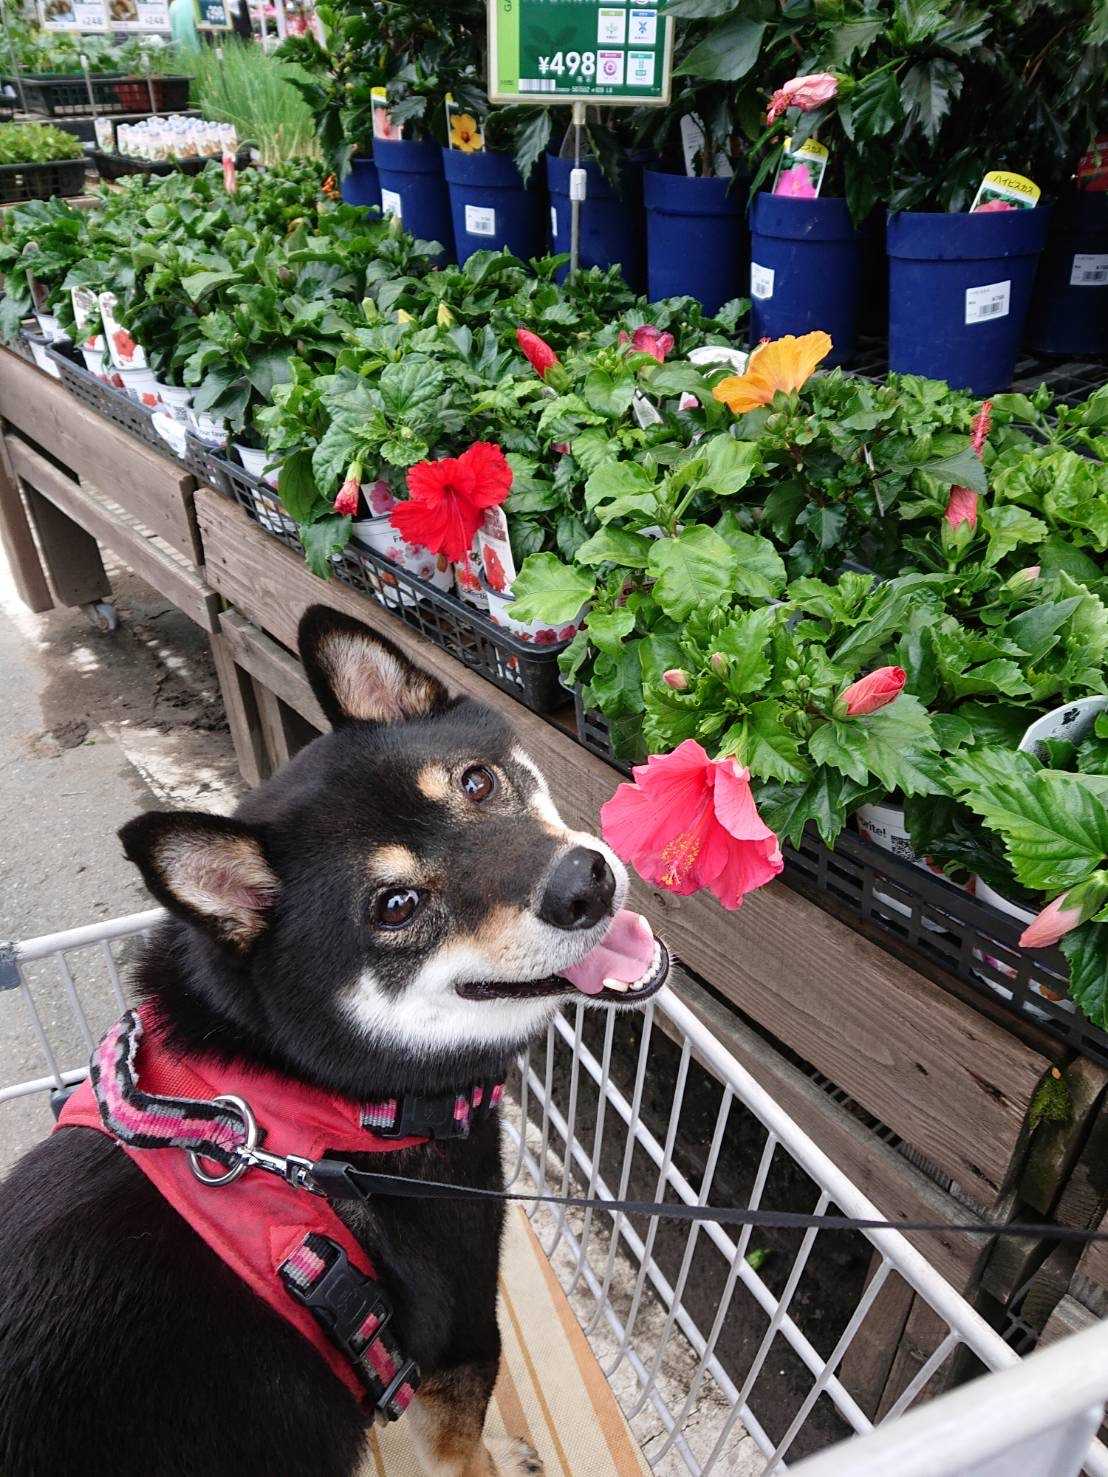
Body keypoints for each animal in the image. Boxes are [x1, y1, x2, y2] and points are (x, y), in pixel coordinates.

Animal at [0, 602, 667, 1477]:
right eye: (394, 905)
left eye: (477, 781)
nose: (583, 883)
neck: (319, 1097)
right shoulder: (458, 1336)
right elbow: (467, 1450)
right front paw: (504, 1454)